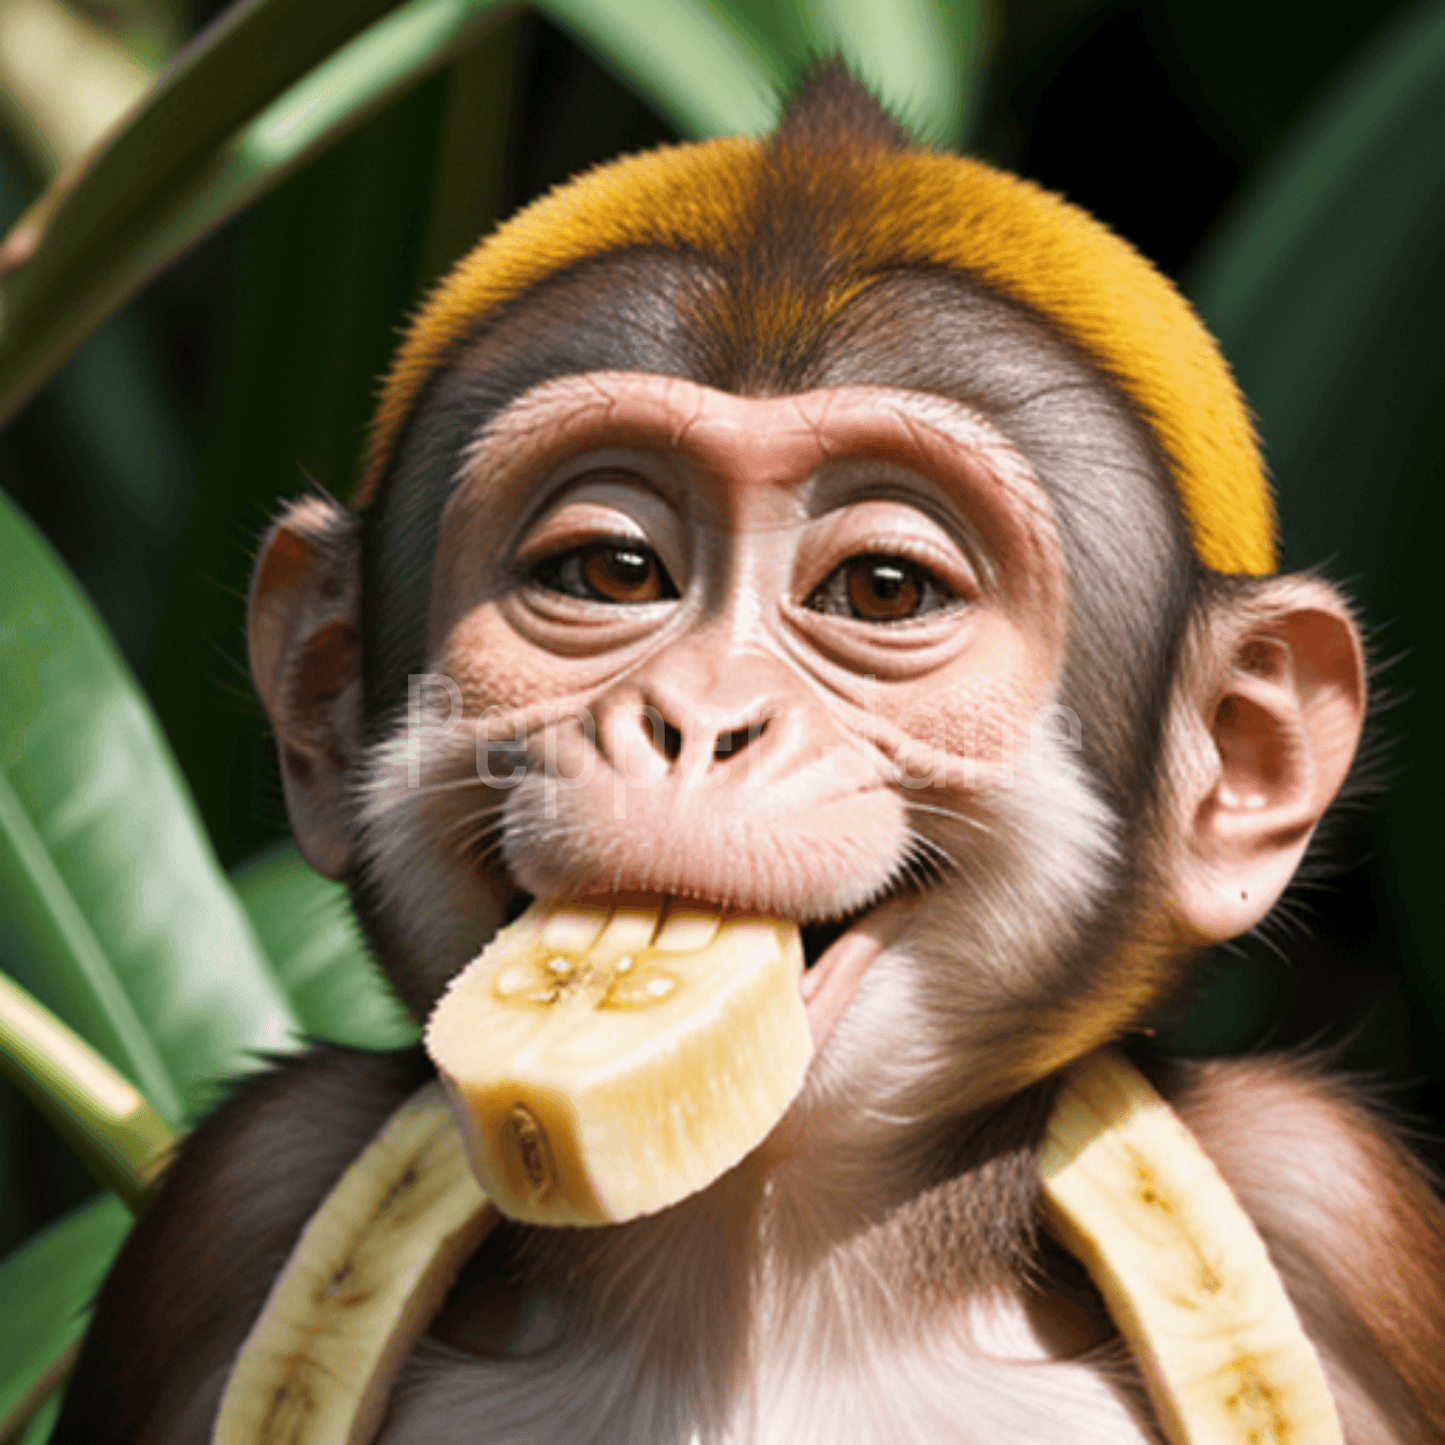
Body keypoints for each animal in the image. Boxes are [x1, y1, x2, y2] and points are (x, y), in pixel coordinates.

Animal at [52, 63, 1445, 1444]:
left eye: (882, 589)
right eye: (611, 572)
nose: (700, 718)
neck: (756, 1265)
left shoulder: (1329, 1201)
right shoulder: (242, 1195)